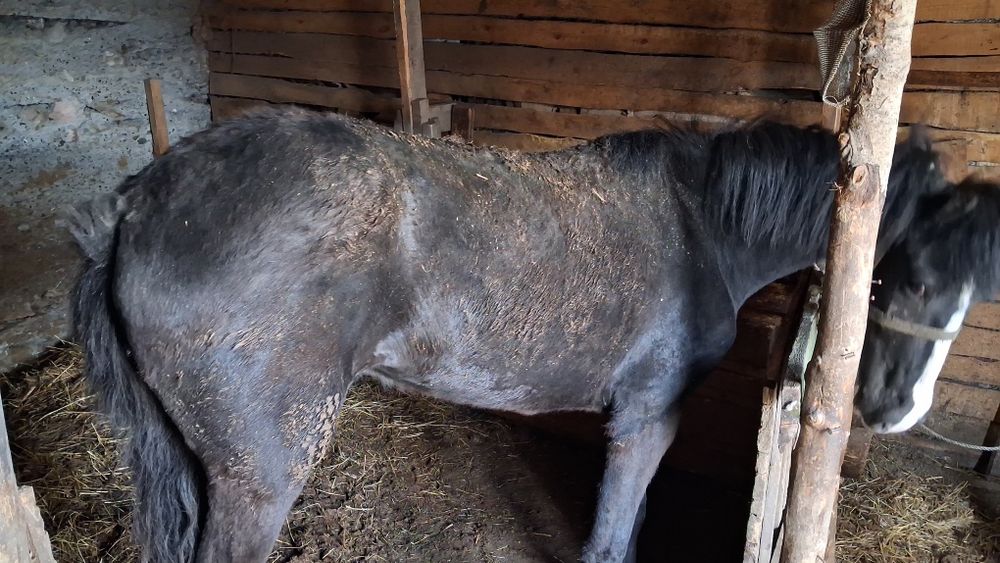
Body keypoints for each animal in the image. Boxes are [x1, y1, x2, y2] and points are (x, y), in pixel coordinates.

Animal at [66, 107, 946, 563]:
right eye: (927, 272)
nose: (898, 404)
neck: (702, 221)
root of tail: (134, 206)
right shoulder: (646, 414)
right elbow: (614, 527)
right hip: (261, 471)